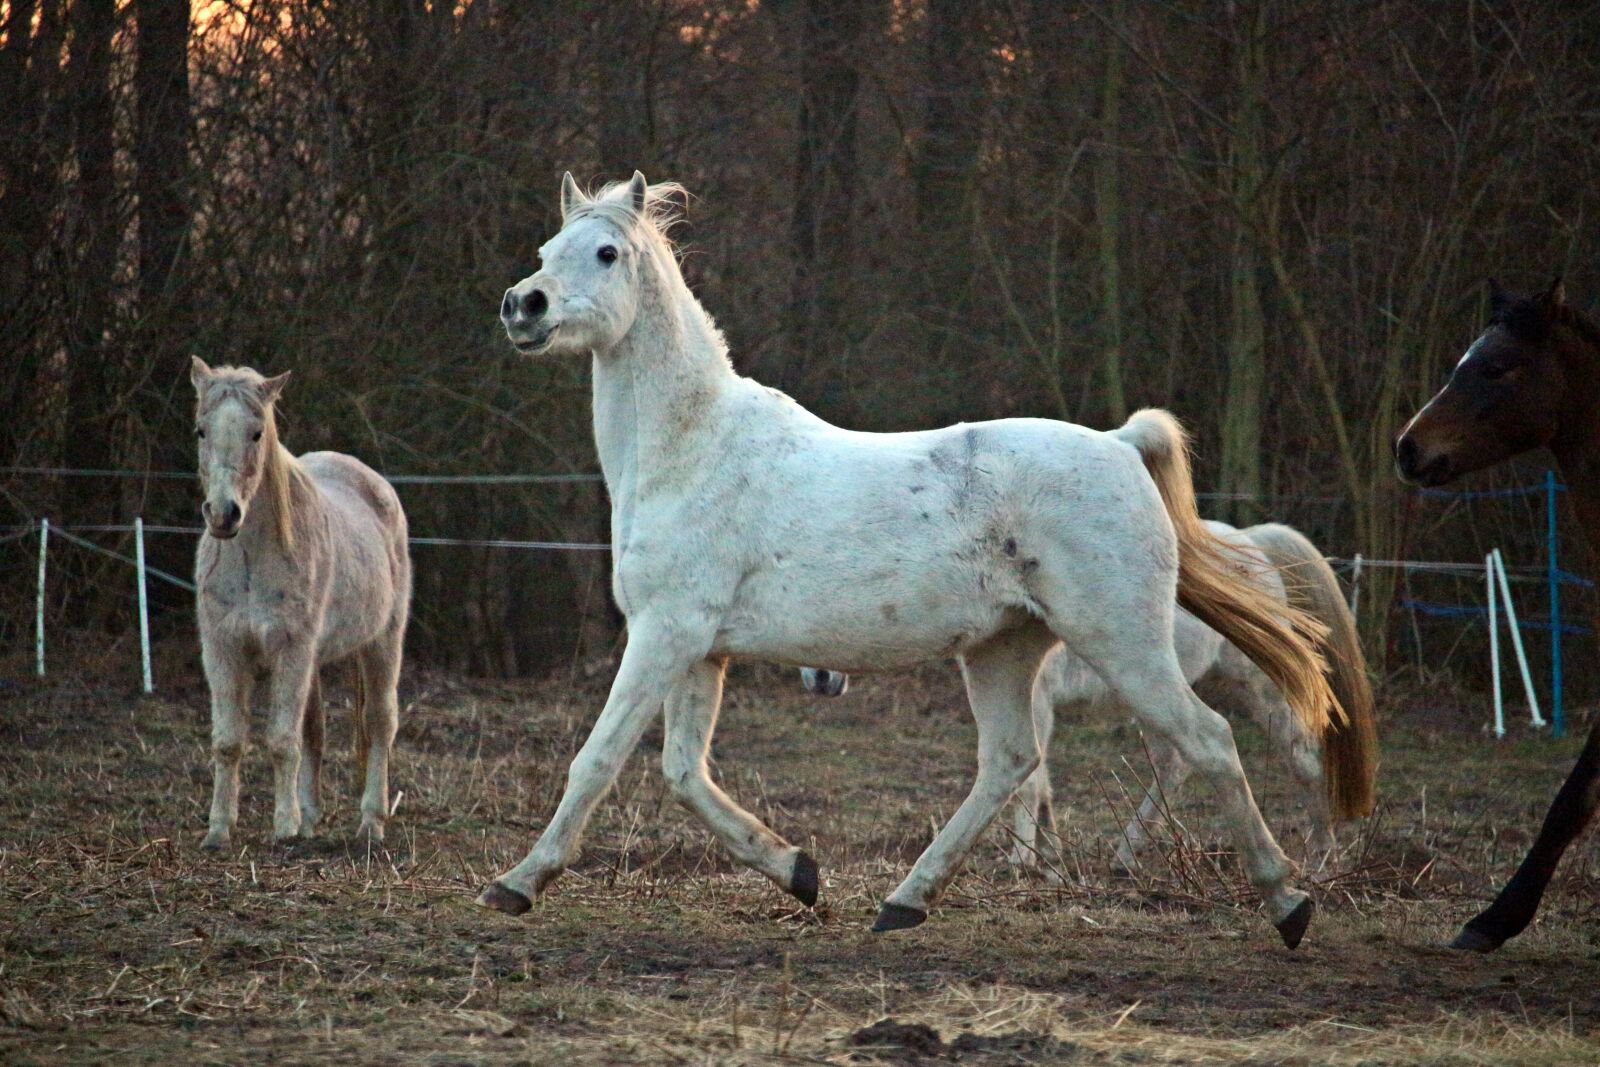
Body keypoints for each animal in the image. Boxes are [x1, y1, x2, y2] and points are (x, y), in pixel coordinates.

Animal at [191, 358, 412, 849]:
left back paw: (371, 823)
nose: (223, 514)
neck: (251, 557)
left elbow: (280, 740)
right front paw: (218, 830)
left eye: (257, 432)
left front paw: (283, 827)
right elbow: (228, 741)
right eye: (201, 430)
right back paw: (311, 819)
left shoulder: (290, 650)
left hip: (383, 641)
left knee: (379, 722)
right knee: (316, 729)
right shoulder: (223, 649)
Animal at [484, 172, 1344, 947]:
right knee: (1011, 761)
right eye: (547, 249)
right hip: (1005, 649)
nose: (523, 306)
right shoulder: (700, 650)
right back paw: (904, 901)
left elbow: (597, 760)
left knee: (1210, 742)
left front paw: (516, 883)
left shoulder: (664, 634)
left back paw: (1291, 904)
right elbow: (685, 775)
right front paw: (799, 872)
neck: (693, 449)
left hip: (1124, 642)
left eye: (606, 252)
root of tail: (1122, 443)